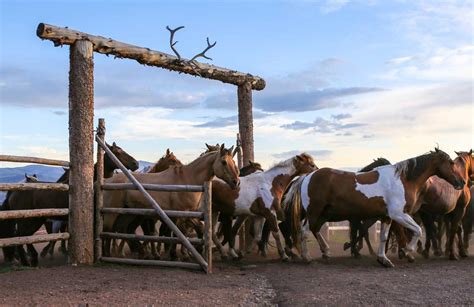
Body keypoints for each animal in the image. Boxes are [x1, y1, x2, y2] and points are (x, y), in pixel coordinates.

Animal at [102, 144, 239, 258]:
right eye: (224, 162)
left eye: (233, 162)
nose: (236, 182)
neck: (187, 179)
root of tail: (107, 181)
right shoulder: (180, 214)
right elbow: (179, 234)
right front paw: (175, 254)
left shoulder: (189, 214)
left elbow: (197, 229)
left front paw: (197, 250)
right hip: (113, 212)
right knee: (108, 229)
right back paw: (108, 254)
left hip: (128, 214)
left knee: (122, 229)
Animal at [284, 149, 464, 268]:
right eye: (451, 163)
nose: (461, 182)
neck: (402, 180)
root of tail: (307, 176)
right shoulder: (398, 214)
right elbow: (418, 231)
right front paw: (407, 251)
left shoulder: (387, 216)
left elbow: (384, 237)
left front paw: (383, 259)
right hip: (315, 212)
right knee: (305, 231)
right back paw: (307, 258)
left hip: (324, 214)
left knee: (315, 230)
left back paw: (326, 252)